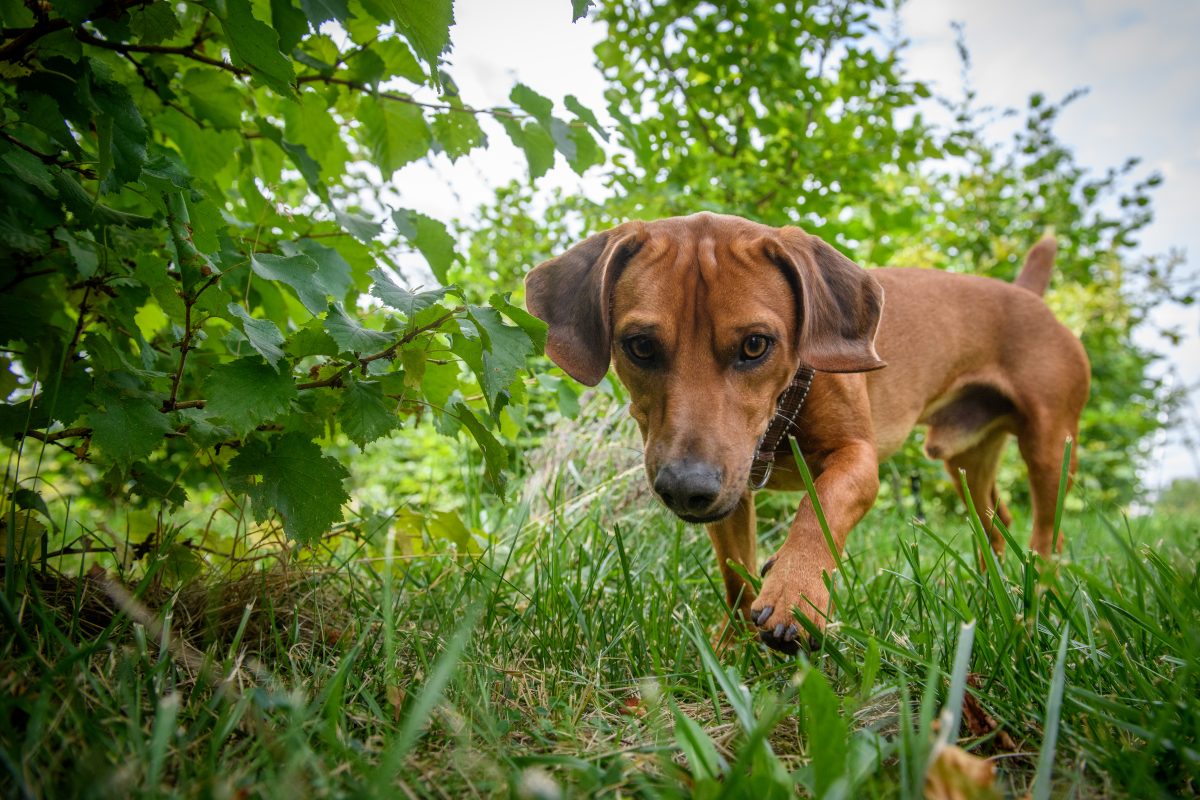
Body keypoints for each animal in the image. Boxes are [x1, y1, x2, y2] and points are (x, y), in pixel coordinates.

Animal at [523, 211, 1089, 652]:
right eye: (640, 346)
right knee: (996, 522)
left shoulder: (857, 459)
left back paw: (1037, 598)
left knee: (1049, 529)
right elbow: (735, 572)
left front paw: (793, 593)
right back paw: (994, 593)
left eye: (755, 344)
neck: (784, 411)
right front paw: (730, 646)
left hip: (1049, 447)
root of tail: (1027, 295)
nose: (686, 488)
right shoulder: (733, 493)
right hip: (968, 460)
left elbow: (823, 507)